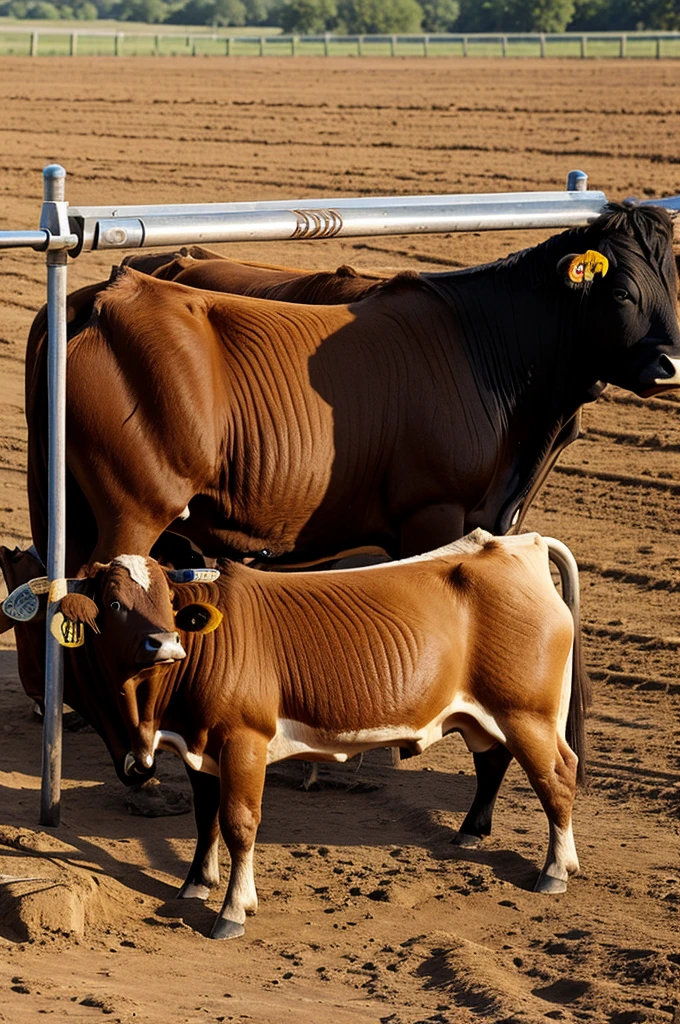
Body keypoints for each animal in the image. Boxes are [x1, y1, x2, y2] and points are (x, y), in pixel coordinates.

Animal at [20, 530, 587, 939]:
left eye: (167, 603)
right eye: (115, 604)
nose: (165, 644)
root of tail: (518, 543)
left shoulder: (244, 741)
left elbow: (239, 823)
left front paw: (232, 910)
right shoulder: (197, 747)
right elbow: (205, 819)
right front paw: (195, 884)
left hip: (527, 713)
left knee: (557, 776)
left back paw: (555, 870)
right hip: (484, 714)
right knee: (492, 760)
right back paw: (470, 832)